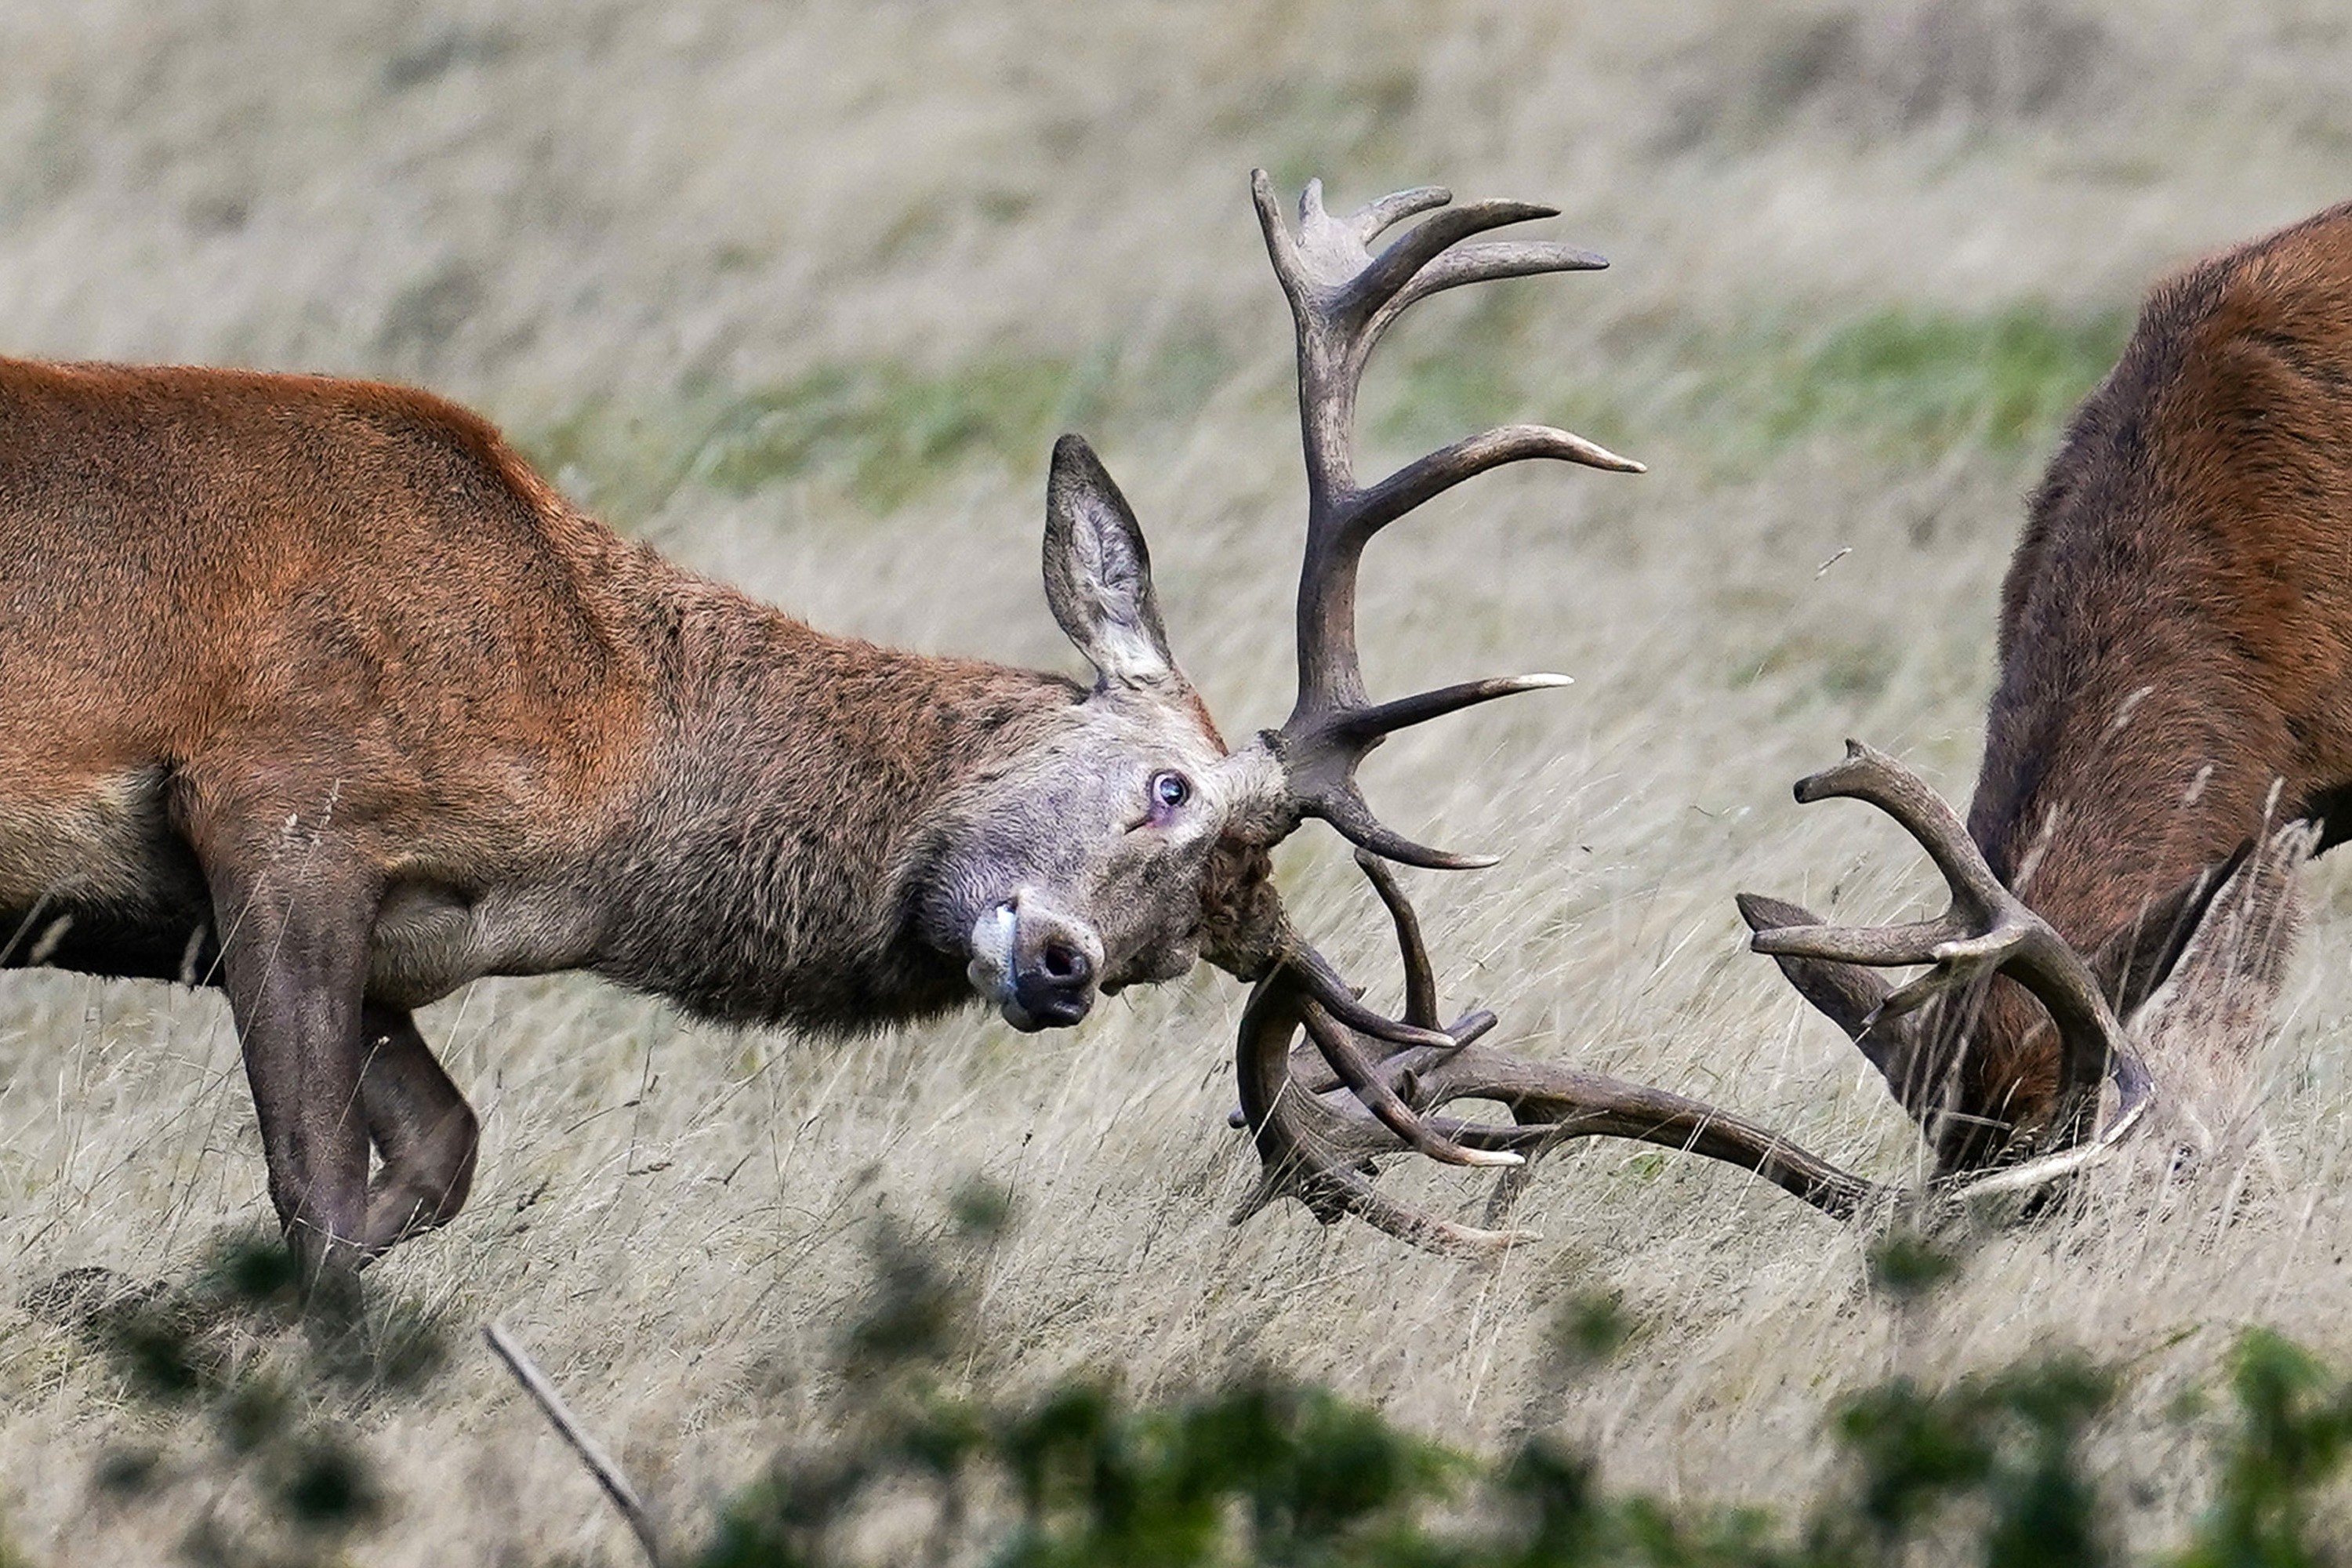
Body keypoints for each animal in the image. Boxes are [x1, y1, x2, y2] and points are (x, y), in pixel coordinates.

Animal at [0, 169, 1661, 1285]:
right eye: (1166, 789)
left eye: (1175, 952)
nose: (1062, 969)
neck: (596, 769)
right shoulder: (277, 804)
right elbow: (319, 1196)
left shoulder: (346, 928)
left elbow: (436, 1159)